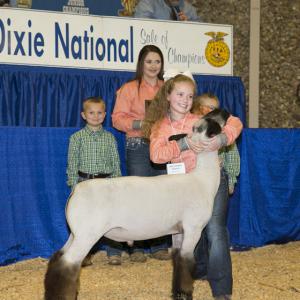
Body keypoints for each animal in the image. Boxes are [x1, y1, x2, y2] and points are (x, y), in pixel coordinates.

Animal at [43, 109, 229, 300]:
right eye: (212, 120)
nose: (224, 112)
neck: (203, 179)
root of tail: (76, 190)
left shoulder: (179, 231)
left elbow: (178, 262)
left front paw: (177, 293)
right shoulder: (193, 228)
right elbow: (186, 262)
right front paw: (185, 294)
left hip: (76, 233)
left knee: (57, 259)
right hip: (87, 234)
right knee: (67, 264)